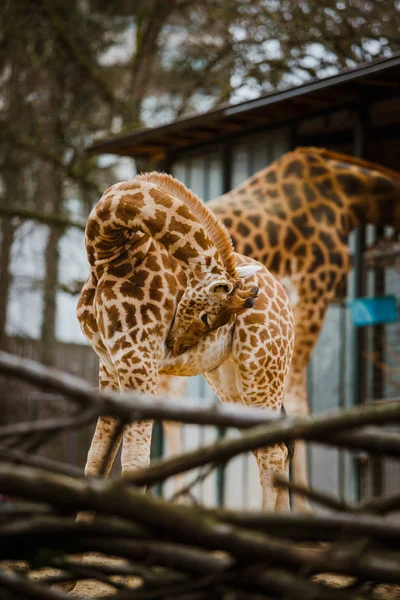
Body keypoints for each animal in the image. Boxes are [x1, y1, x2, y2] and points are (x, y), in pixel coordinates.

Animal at [77, 171, 294, 508]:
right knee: (272, 450)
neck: (105, 251)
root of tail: (287, 304)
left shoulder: (137, 359)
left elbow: (135, 462)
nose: (176, 345)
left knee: (273, 453)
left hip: (263, 371)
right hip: (229, 380)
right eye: (208, 318)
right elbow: (96, 461)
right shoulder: (110, 365)